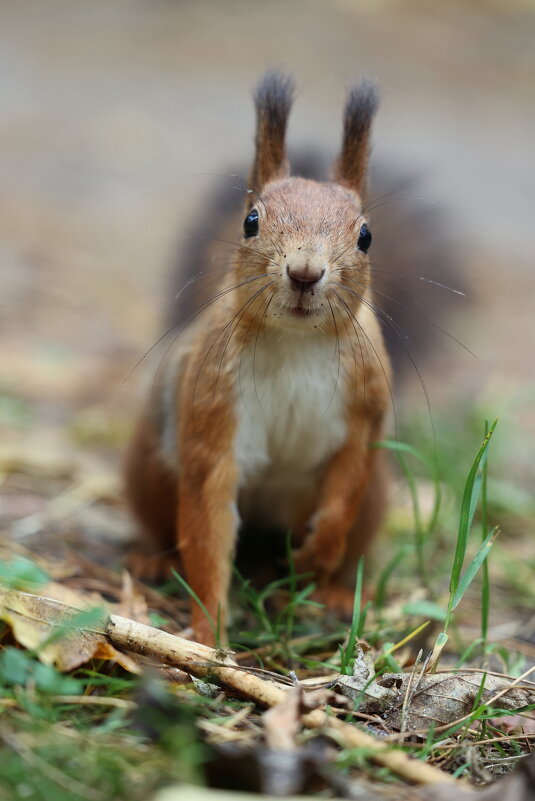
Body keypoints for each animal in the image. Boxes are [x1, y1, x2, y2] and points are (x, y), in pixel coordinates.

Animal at [125, 70, 394, 644]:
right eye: (250, 221)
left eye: (365, 236)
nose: (305, 272)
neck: (295, 340)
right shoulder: (213, 405)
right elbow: (207, 523)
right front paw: (210, 631)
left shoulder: (366, 406)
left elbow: (347, 483)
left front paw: (316, 554)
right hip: (149, 466)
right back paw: (156, 560)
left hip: (378, 501)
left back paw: (330, 590)